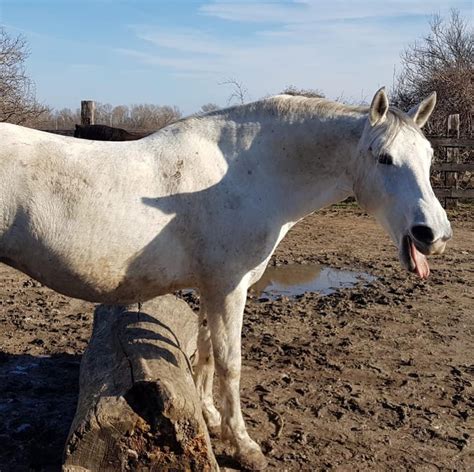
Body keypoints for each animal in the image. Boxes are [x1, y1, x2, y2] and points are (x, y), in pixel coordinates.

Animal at [0, 87, 452, 468]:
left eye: (430, 156)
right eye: (384, 158)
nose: (434, 234)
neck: (247, 174)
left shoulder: (210, 288)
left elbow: (204, 355)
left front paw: (211, 418)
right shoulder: (229, 289)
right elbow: (229, 363)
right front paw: (244, 445)